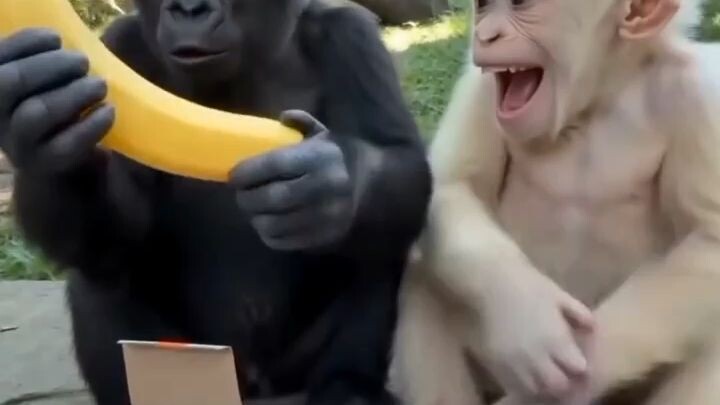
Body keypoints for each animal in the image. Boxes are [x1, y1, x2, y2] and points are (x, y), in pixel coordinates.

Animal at [0, 0, 432, 404]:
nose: (190, 8)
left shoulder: (351, 39)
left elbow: (403, 164)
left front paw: (327, 187)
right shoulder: (121, 46)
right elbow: (123, 223)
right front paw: (55, 135)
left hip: (290, 370)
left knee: (375, 245)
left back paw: (348, 388)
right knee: (99, 269)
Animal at [389, 0, 720, 404]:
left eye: (522, 5)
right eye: (483, 7)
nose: (486, 35)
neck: (595, 101)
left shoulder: (700, 95)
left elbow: (708, 239)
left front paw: (591, 361)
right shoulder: (482, 87)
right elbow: (454, 187)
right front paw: (526, 319)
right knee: (424, 274)